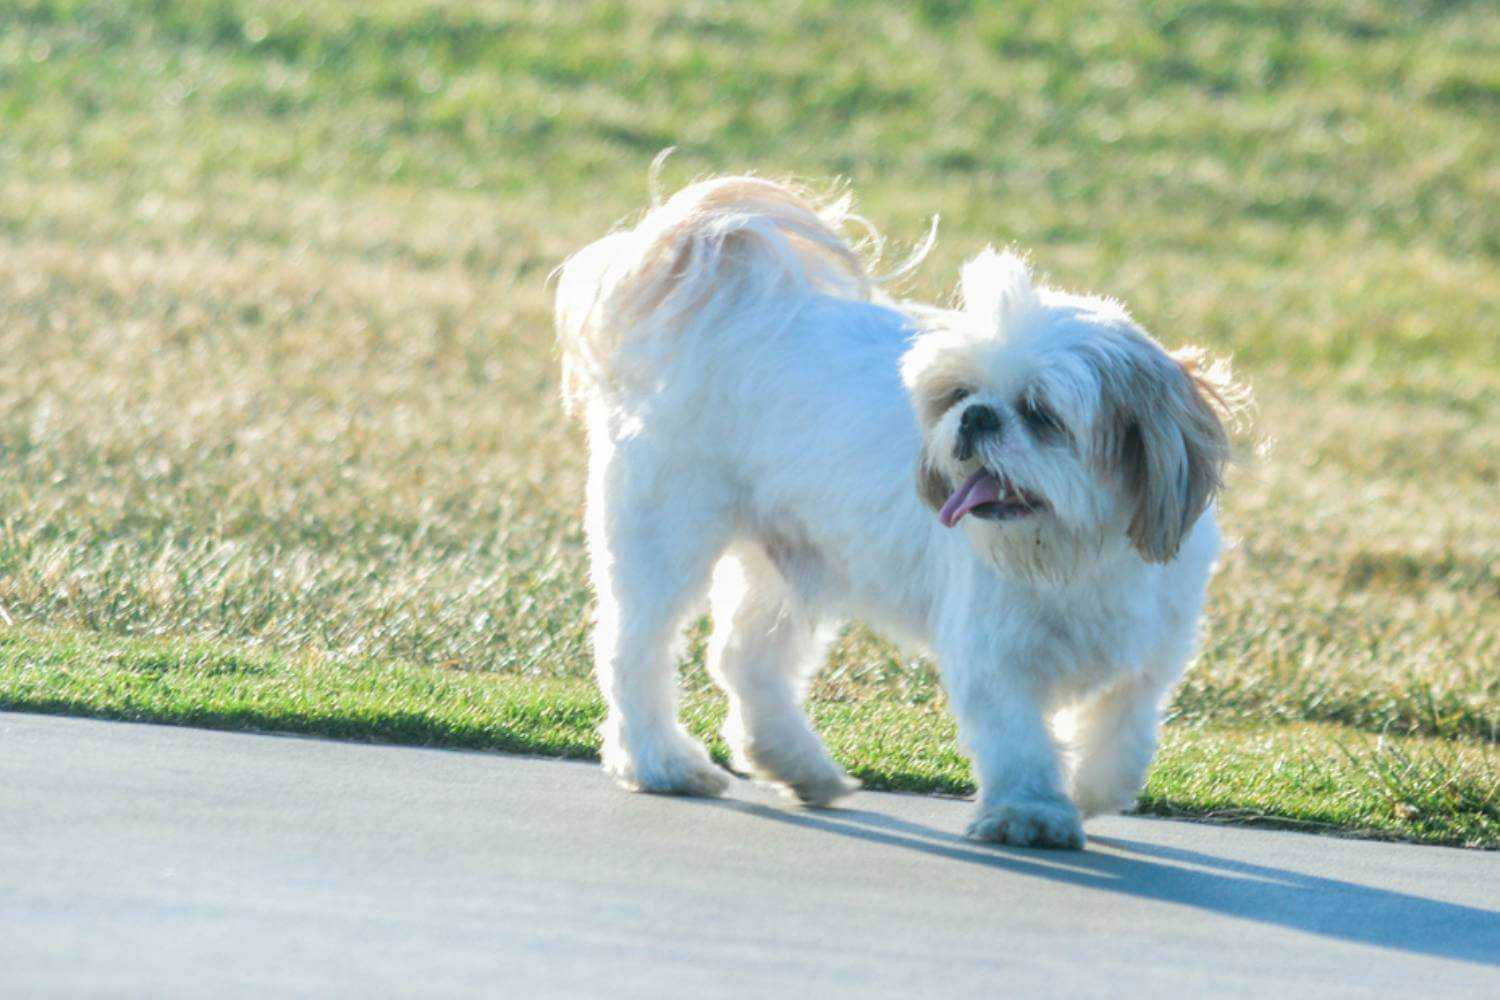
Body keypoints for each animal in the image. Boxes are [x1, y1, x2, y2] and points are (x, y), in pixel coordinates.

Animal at [552, 176, 1242, 851]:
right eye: (958, 394)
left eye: (1040, 412)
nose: (975, 418)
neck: (1075, 552)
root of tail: (729, 300)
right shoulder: (992, 655)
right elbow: (1019, 742)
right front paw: (1031, 813)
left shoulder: (1150, 656)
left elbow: (1122, 734)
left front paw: (1089, 791)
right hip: (664, 535)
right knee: (635, 649)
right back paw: (661, 763)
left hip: (787, 564)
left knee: (746, 661)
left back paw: (798, 766)